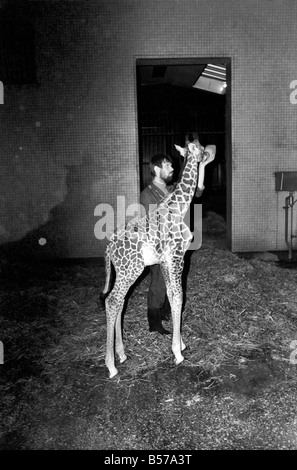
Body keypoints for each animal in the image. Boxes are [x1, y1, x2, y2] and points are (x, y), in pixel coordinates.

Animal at [102, 137, 215, 378]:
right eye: (201, 149)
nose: (210, 151)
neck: (180, 206)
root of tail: (109, 249)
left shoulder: (165, 261)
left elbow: (171, 296)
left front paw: (180, 343)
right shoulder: (178, 256)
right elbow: (180, 297)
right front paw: (178, 353)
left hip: (124, 272)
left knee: (121, 301)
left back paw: (122, 354)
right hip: (131, 269)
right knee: (112, 300)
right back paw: (111, 366)